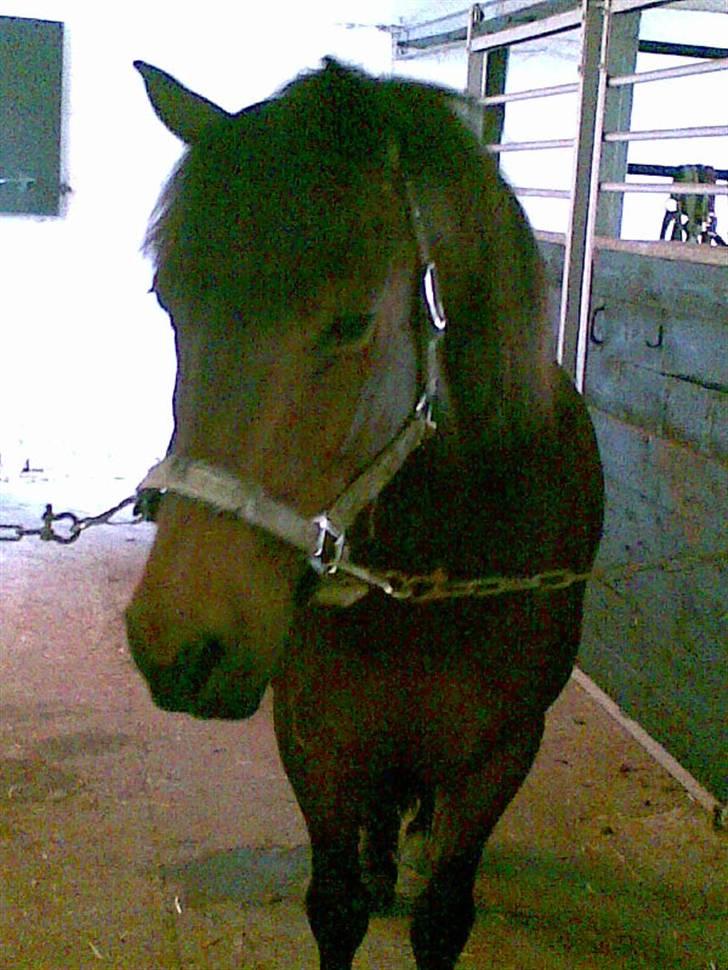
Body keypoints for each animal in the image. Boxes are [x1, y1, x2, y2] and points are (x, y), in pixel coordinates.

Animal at [125, 58, 604, 969]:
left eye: (350, 323)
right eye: (168, 302)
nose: (178, 646)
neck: (438, 565)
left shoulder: (498, 758)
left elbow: (443, 919)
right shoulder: (318, 742)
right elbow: (336, 907)